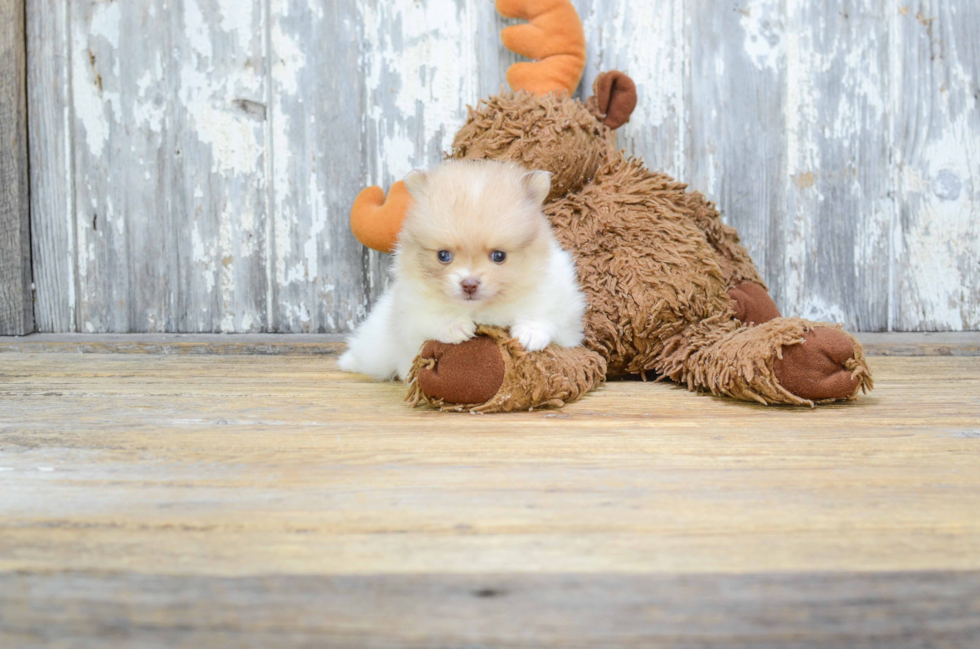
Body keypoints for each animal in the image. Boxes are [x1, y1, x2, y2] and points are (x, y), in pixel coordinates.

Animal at [338, 159, 580, 380]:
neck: (479, 310)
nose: (469, 284)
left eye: (499, 256)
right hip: (377, 347)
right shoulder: (409, 313)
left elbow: (547, 315)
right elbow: (427, 318)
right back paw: (348, 362)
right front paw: (454, 326)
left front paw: (529, 333)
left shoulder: (561, 301)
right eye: (443, 255)